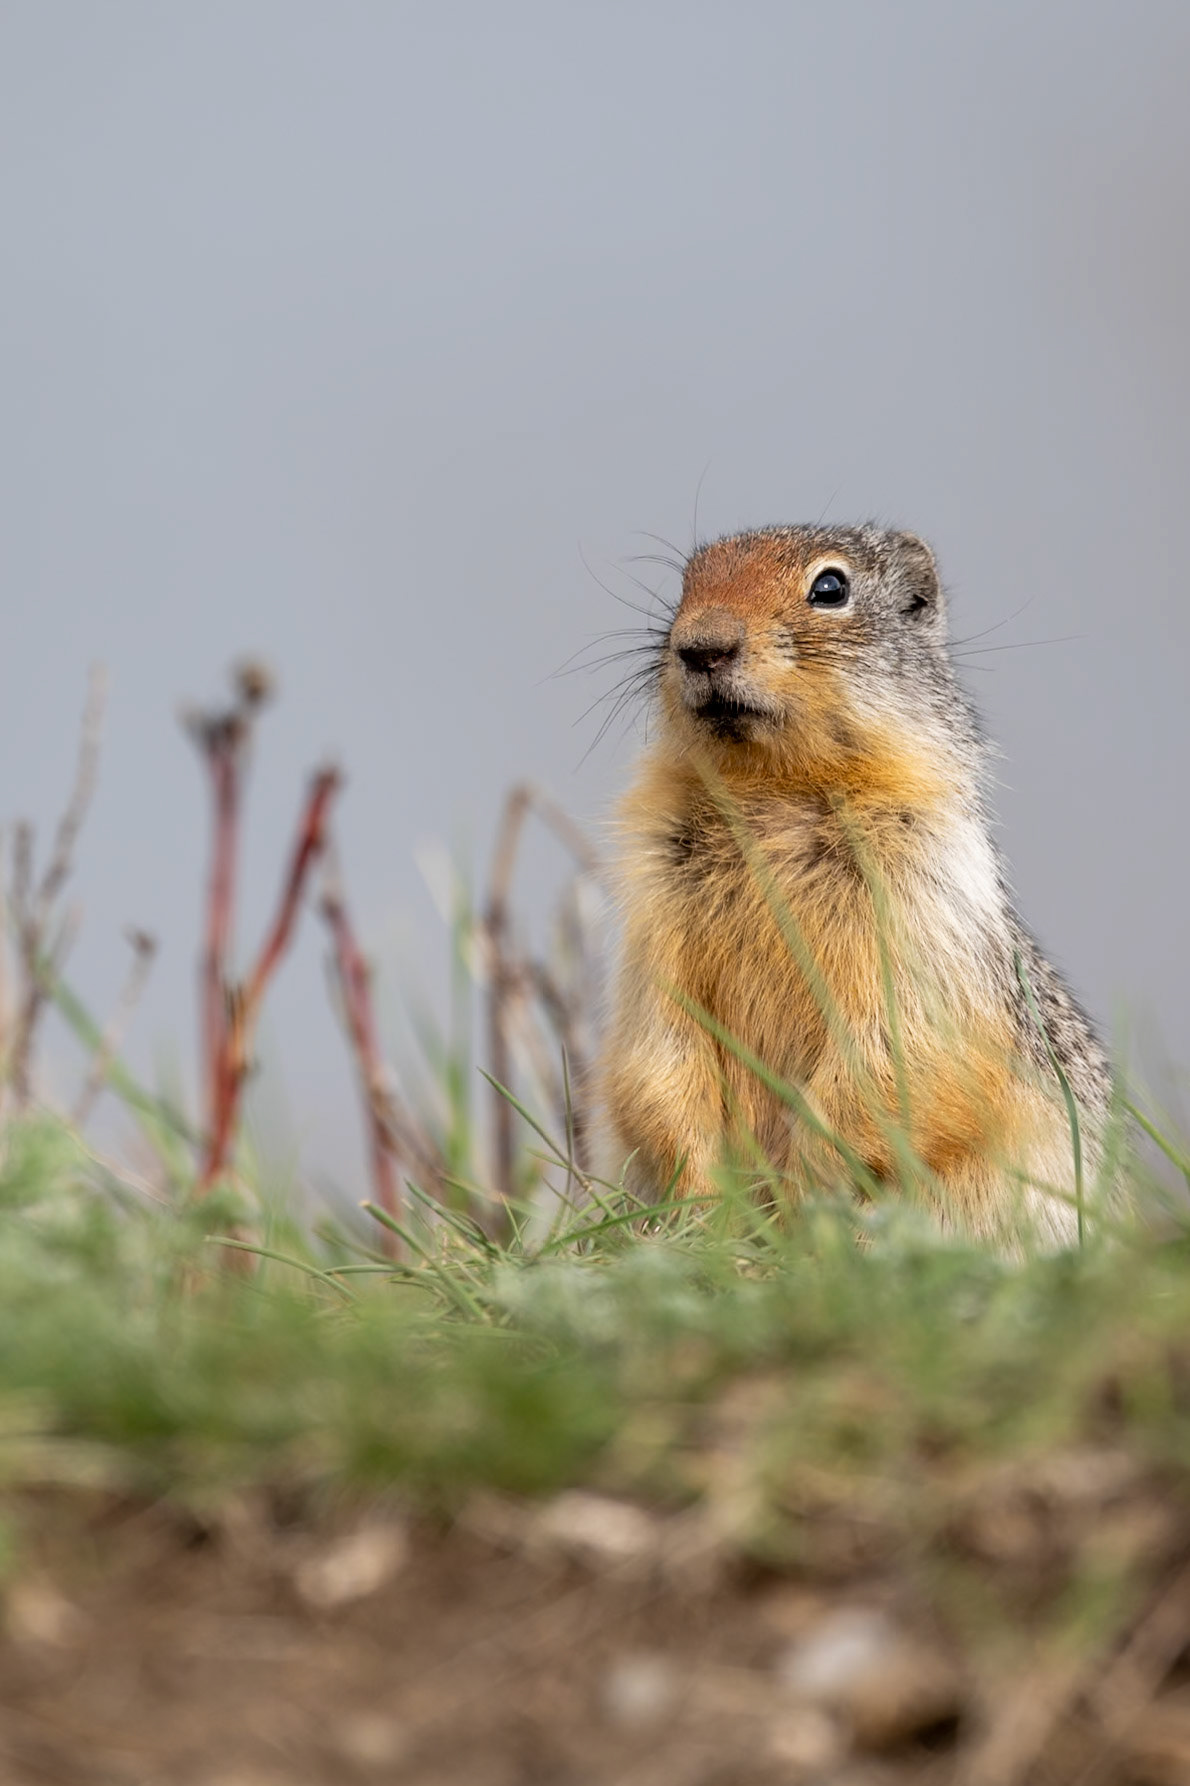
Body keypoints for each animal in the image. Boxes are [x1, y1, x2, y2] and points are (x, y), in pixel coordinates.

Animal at [602, 525, 1111, 1245]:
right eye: (686, 584)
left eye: (830, 587)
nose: (702, 644)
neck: (773, 788)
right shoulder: (652, 911)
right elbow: (658, 1051)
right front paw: (703, 1208)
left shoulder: (921, 902)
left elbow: (896, 1052)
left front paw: (805, 1195)